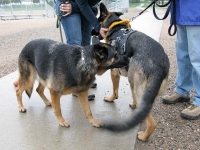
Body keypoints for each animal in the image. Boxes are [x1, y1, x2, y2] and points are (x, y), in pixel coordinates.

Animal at [97, 2, 170, 141]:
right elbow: (133, 96)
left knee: (152, 123)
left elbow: (115, 90)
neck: (116, 27)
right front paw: (134, 105)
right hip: (143, 88)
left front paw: (111, 98)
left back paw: (144, 136)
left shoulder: (114, 73)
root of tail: (157, 66)